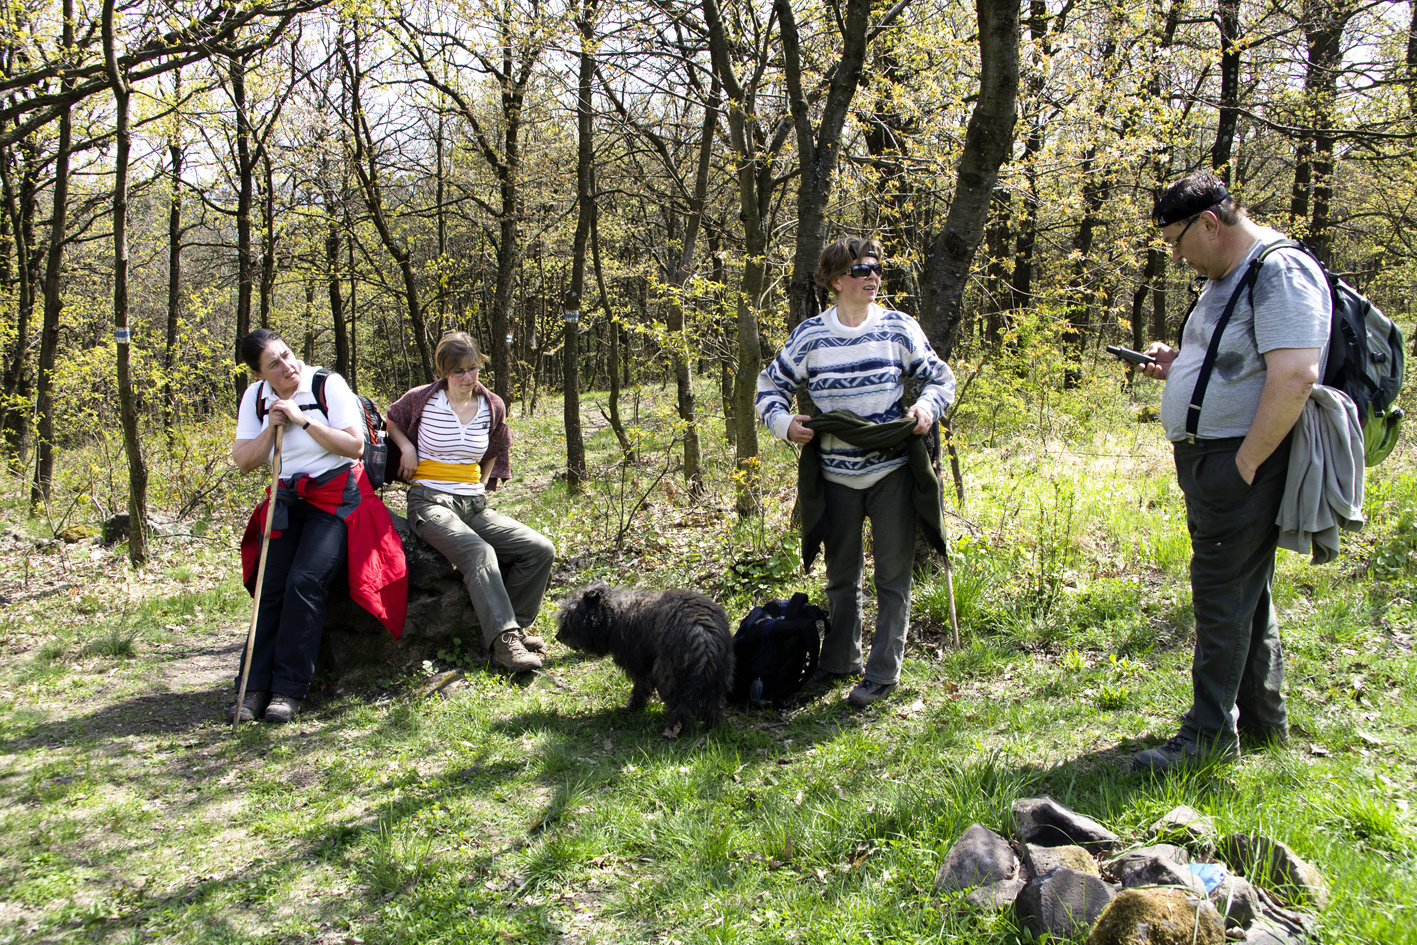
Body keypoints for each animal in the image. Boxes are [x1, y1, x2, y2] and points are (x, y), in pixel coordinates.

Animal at [558, 580, 736, 736]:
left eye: (570, 616)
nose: (557, 636)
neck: (614, 614)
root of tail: (703, 635)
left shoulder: (640, 667)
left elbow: (640, 689)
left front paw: (633, 708)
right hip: (719, 677)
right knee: (712, 705)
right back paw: (711, 726)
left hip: (668, 675)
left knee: (681, 706)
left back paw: (677, 730)